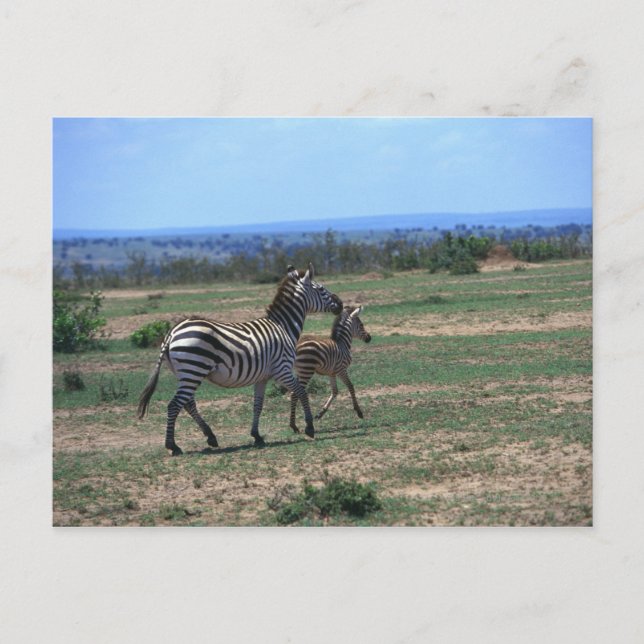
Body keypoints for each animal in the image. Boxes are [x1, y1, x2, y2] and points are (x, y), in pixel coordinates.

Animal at [137, 263, 342, 455]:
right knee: (175, 405)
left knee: (188, 403)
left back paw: (210, 437)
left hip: (185, 373)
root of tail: (172, 332)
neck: (283, 327)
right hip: (193, 369)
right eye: (321, 289)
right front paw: (309, 427)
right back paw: (173, 446)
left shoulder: (262, 376)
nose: (340, 304)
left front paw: (257, 436)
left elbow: (257, 405)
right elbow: (301, 392)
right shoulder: (282, 369)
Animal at [289, 305, 371, 433]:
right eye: (361, 325)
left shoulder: (331, 373)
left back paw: (294, 425)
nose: (369, 338)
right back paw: (294, 425)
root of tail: (296, 345)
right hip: (306, 371)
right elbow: (351, 386)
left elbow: (335, 391)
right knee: (295, 393)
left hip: (300, 371)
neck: (342, 343)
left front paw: (321, 413)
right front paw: (359, 411)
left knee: (294, 393)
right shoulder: (341, 369)